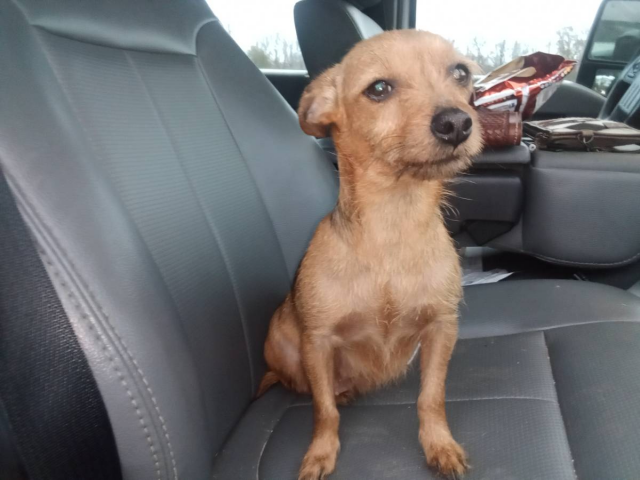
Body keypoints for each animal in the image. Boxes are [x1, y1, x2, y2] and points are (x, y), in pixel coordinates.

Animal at [259, 30, 483, 480]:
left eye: (460, 73)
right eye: (378, 89)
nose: (456, 122)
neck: (392, 225)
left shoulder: (441, 327)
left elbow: (431, 397)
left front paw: (439, 445)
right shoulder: (318, 342)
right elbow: (323, 410)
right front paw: (320, 453)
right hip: (280, 343)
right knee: (301, 384)